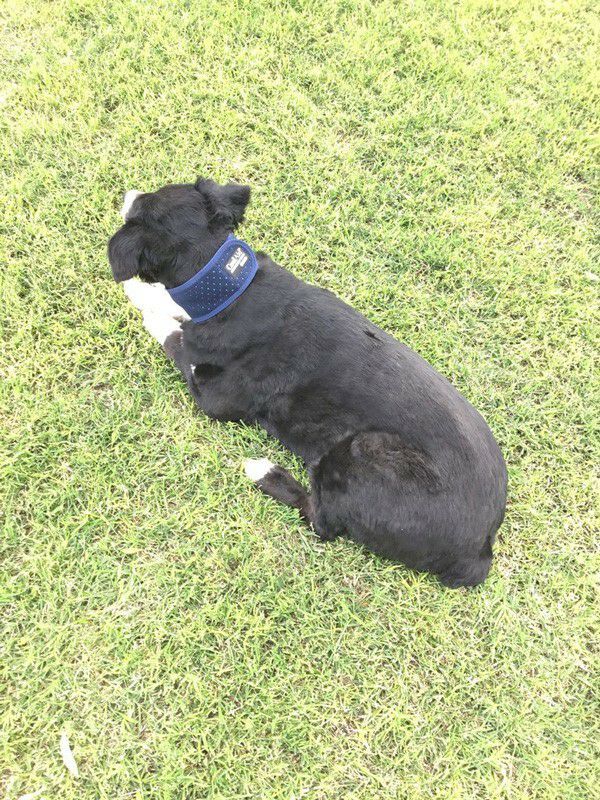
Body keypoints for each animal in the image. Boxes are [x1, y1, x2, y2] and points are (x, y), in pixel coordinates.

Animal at [108, 178, 507, 588]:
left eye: (140, 208)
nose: (126, 193)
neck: (231, 289)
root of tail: (480, 551)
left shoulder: (215, 396)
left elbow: (175, 339)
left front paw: (143, 299)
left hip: (362, 451)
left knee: (321, 522)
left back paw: (264, 471)